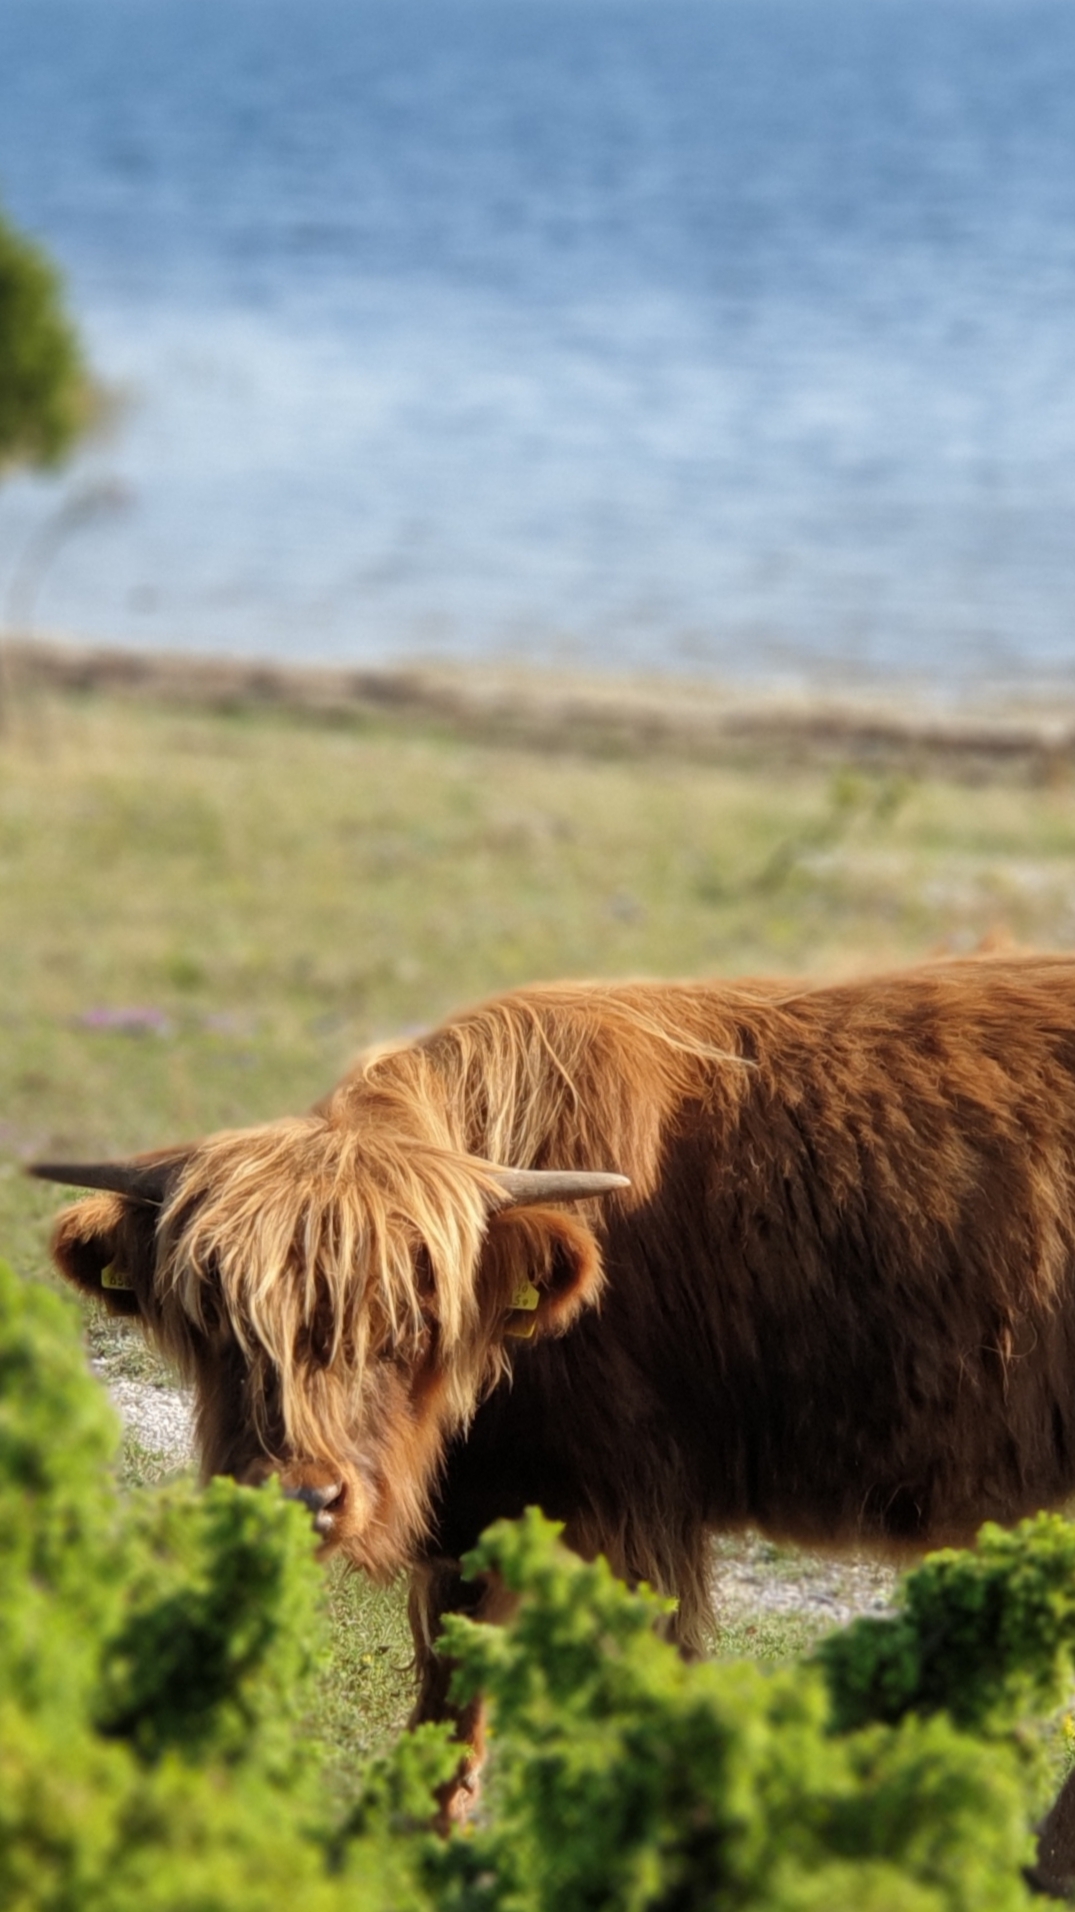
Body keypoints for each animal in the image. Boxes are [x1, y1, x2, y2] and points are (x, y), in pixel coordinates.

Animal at [33, 955, 1075, 1819]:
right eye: (217, 1321)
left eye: (412, 1322)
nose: (305, 1495)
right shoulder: (475, 1525)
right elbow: (445, 1725)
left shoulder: (630, 1517)